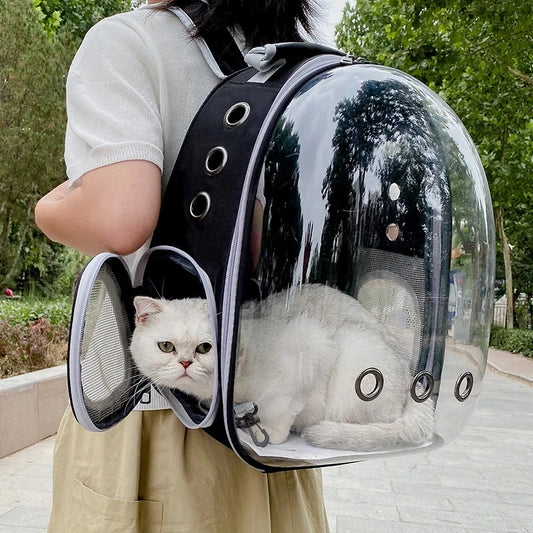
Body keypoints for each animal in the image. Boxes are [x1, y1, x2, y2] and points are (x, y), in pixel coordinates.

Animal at [131, 284, 434, 450]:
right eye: (166, 346)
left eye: (205, 348)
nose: (185, 362)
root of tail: (413, 381)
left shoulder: (309, 346)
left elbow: (280, 417)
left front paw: (262, 433)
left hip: (356, 350)